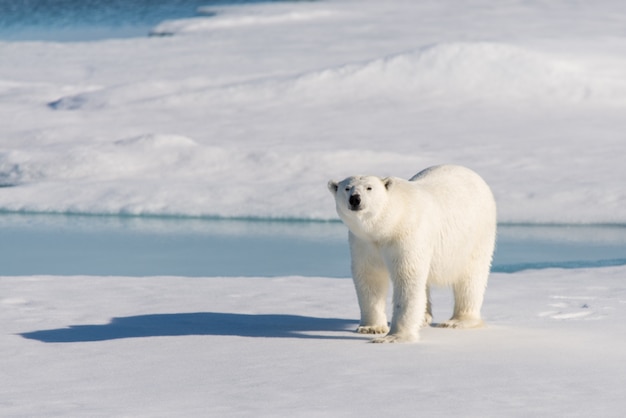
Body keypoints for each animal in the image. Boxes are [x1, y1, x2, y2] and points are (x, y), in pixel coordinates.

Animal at [330, 163, 494, 342]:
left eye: (369, 188)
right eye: (347, 188)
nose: (355, 199)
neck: (389, 224)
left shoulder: (407, 235)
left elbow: (407, 277)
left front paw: (394, 336)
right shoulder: (364, 242)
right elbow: (369, 277)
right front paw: (371, 328)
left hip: (476, 235)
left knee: (471, 276)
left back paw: (457, 321)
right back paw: (424, 318)